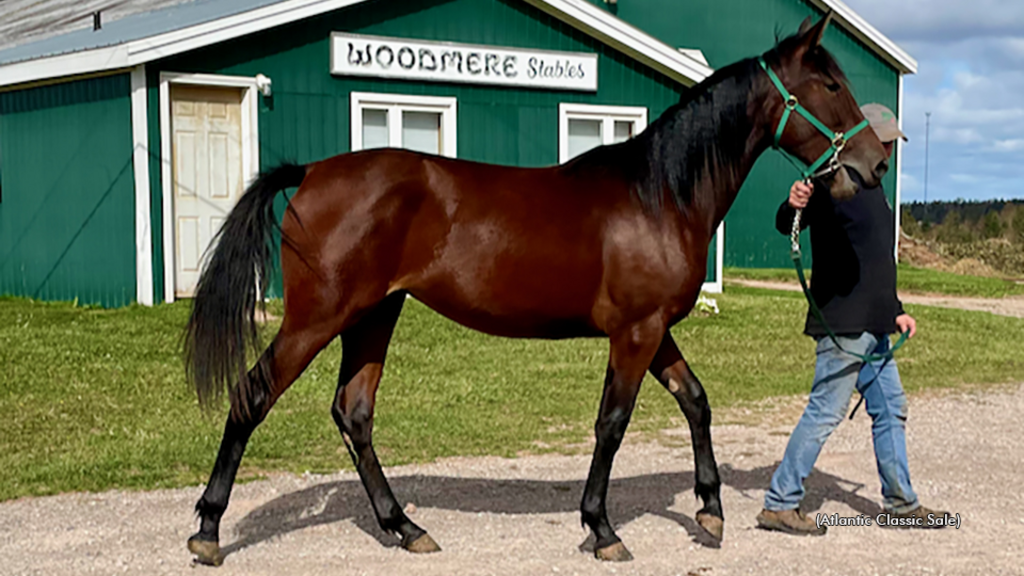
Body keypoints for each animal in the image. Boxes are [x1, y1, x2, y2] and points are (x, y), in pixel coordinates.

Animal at [184, 14, 888, 565]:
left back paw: (405, 526)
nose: (875, 163)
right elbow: (612, 423)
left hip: (373, 314)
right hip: (319, 315)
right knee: (252, 396)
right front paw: (602, 528)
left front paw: (710, 510)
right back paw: (209, 530)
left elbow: (696, 401)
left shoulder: (653, 329)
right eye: (830, 84)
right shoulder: (635, 333)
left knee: (354, 412)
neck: (658, 195)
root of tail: (311, 172)